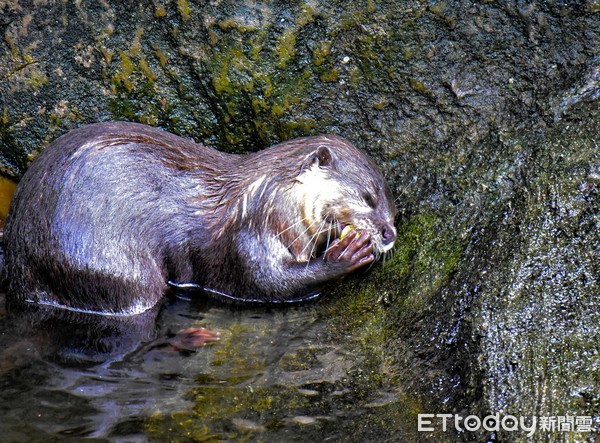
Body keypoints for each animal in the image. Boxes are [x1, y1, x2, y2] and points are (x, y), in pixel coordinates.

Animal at [4, 122, 400, 316]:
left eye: (393, 207)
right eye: (368, 197)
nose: (389, 233)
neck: (269, 199)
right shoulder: (247, 235)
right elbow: (267, 284)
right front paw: (344, 255)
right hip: (105, 263)